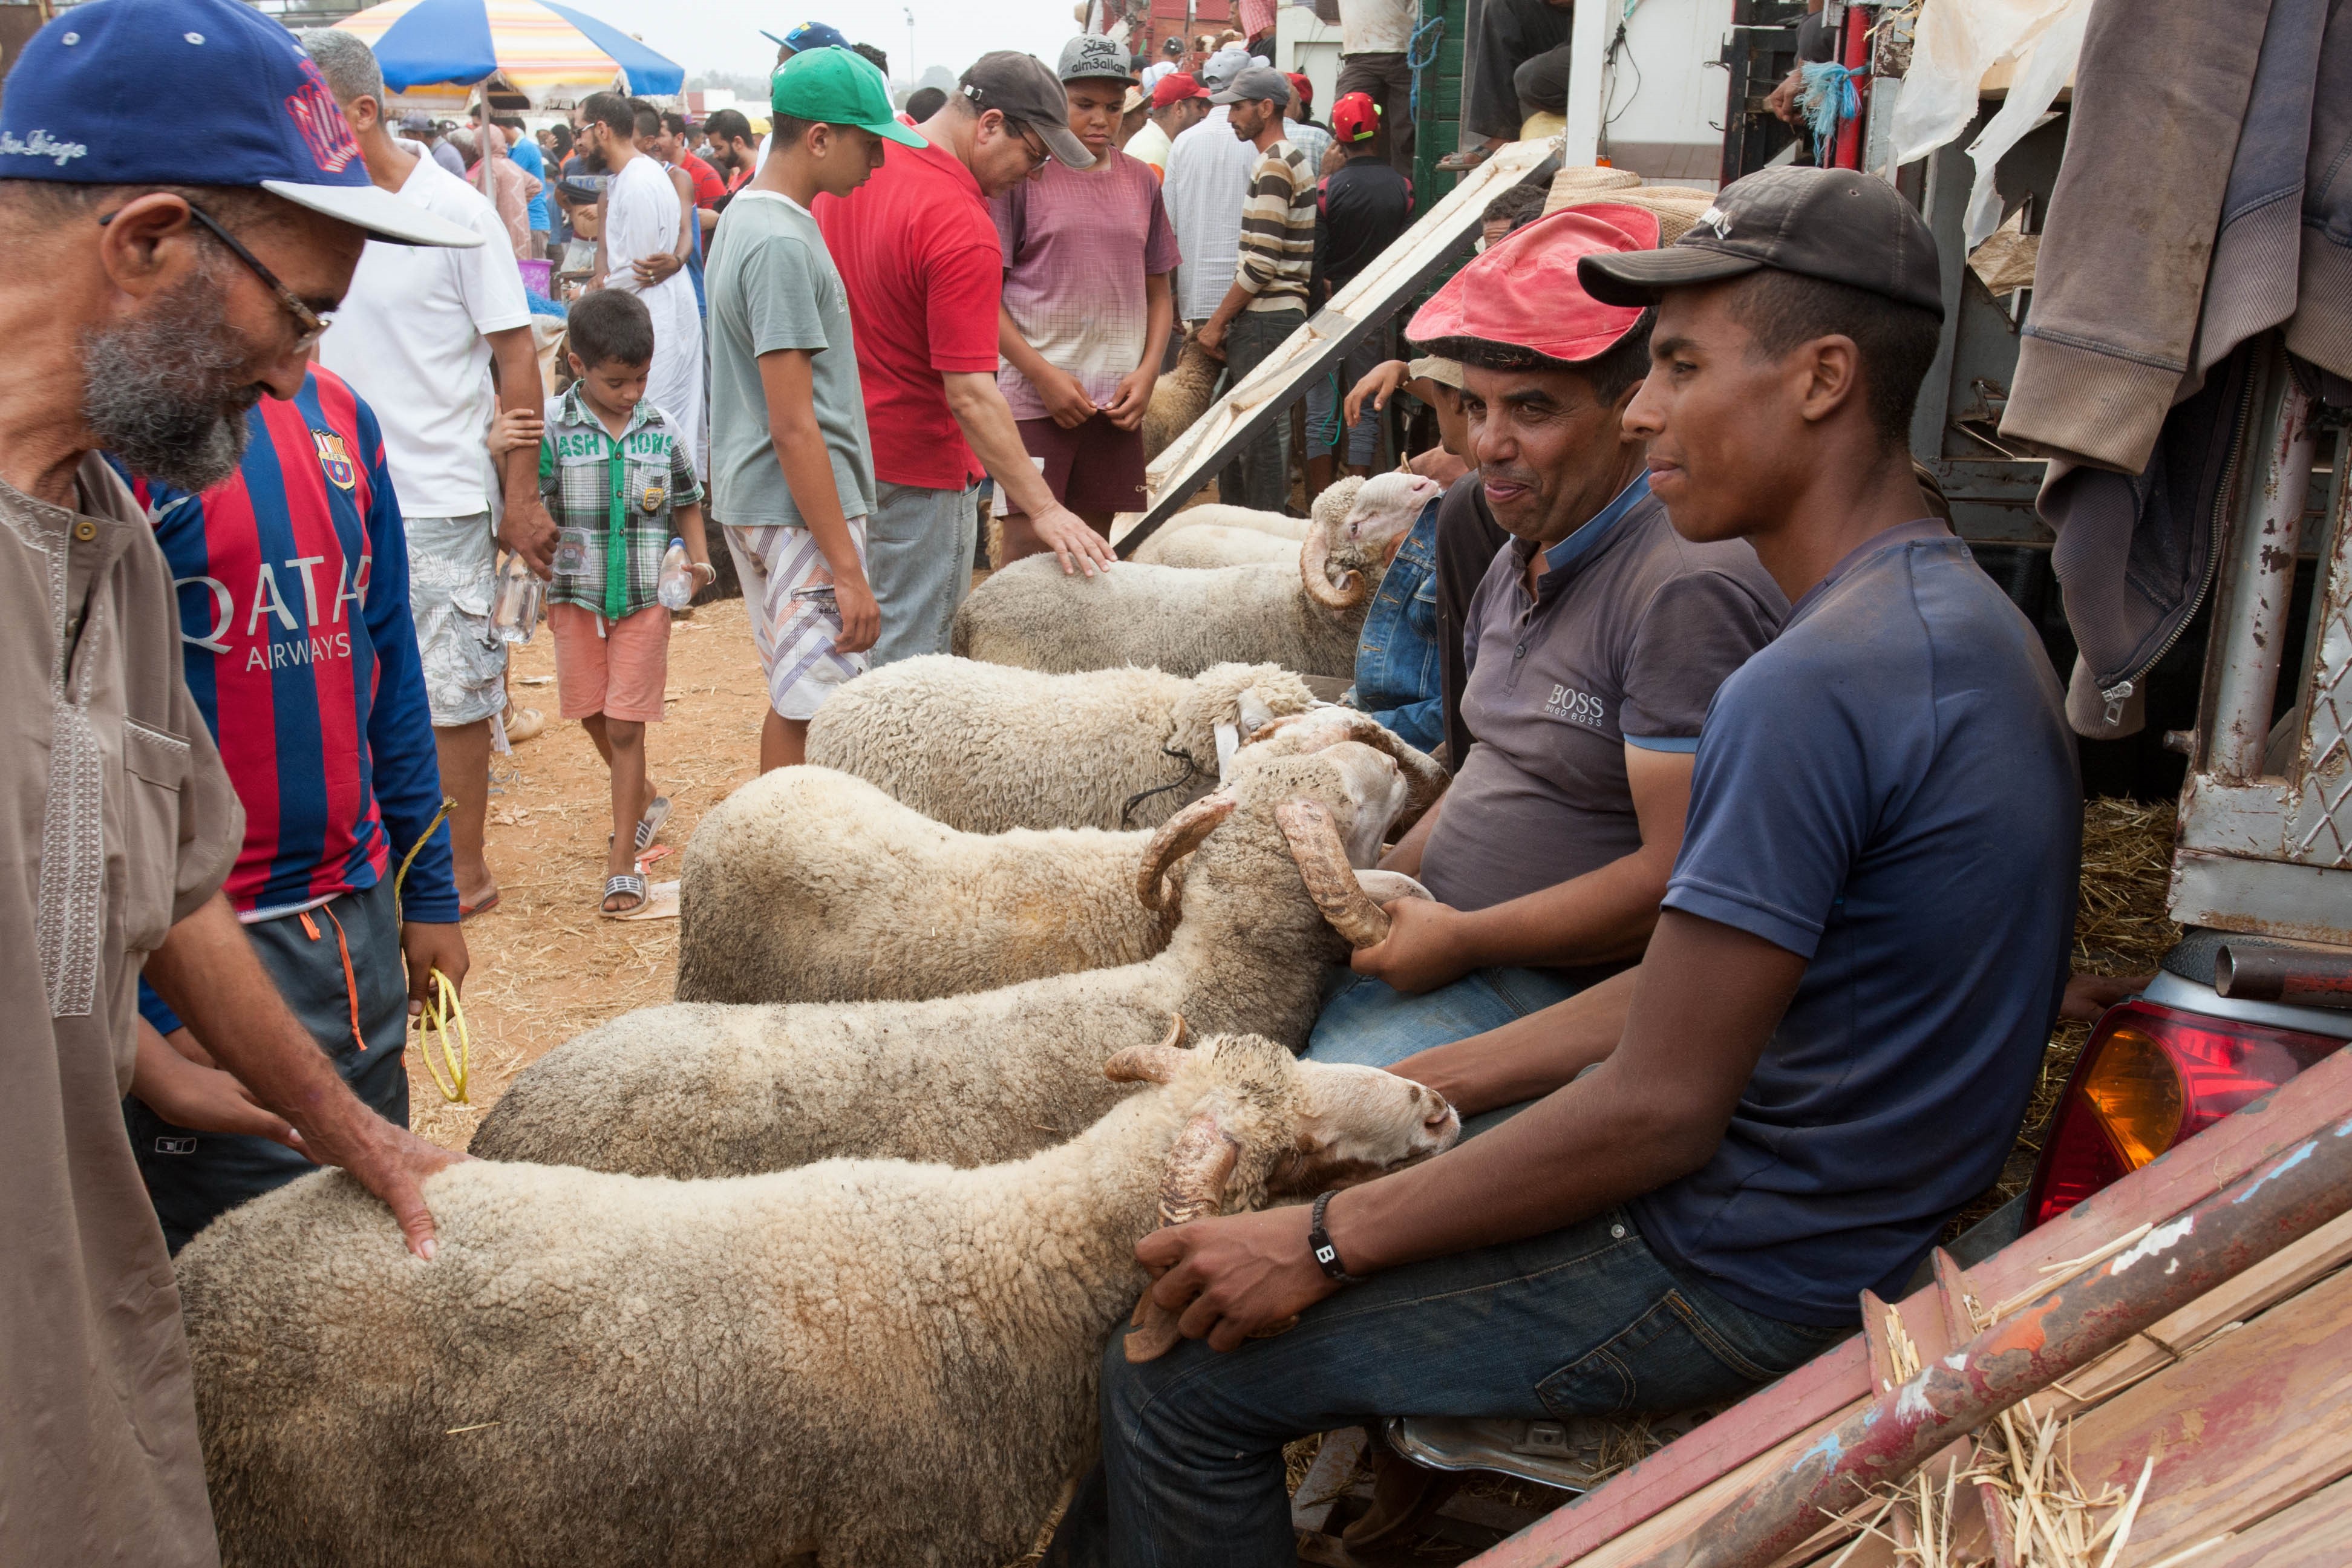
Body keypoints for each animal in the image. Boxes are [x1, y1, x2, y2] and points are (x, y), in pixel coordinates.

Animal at [178, 1030, 1449, 1568]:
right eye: (1284, 1152)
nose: (1436, 1105)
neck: (996, 1278)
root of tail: (195, 1269)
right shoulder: (902, 1542)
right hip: (282, 1534)